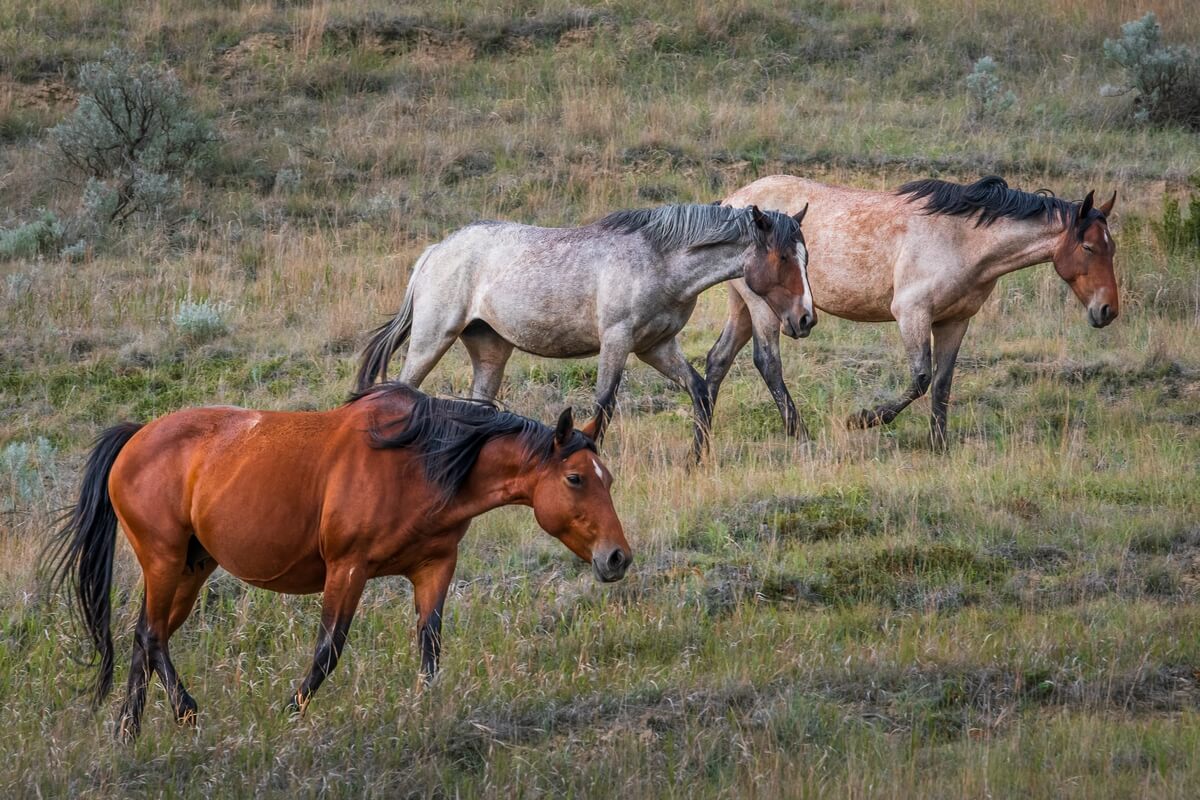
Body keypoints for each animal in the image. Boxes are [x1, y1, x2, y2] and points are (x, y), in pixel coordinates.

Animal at [43, 383, 631, 741]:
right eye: (575, 478)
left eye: (607, 479)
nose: (617, 557)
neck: (420, 460)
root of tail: (134, 438)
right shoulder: (347, 569)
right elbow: (328, 651)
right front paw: (286, 715)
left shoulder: (434, 567)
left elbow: (430, 647)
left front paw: (425, 712)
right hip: (164, 560)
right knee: (150, 636)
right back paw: (183, 711)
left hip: (191, 567)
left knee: (147, 636)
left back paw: (129, 731)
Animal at [355, 202, 814, 460]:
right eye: (784, 257)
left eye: (805, 256)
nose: (805, 318)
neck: (659, 260)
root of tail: (436, 251)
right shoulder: (617, 340)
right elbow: (604, 406)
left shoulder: (657, 346)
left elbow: (699, 391)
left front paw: (696, 461)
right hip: (433, 338)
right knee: (400, 392)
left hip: (490, 349)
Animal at [704, 175, 1118, 448]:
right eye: (1088, 248)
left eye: (1111, 248)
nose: (1108, 310)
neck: (962, 239)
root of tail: (731, 201)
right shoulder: (912, 313)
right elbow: (920, 378)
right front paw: (863, 419)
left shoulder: (955, 321)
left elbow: (942, 384)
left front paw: (939, 445)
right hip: (764, 307)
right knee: (767, 362)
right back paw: (800, 433)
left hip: (743, 305)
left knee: (717, 359)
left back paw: (705, 425)